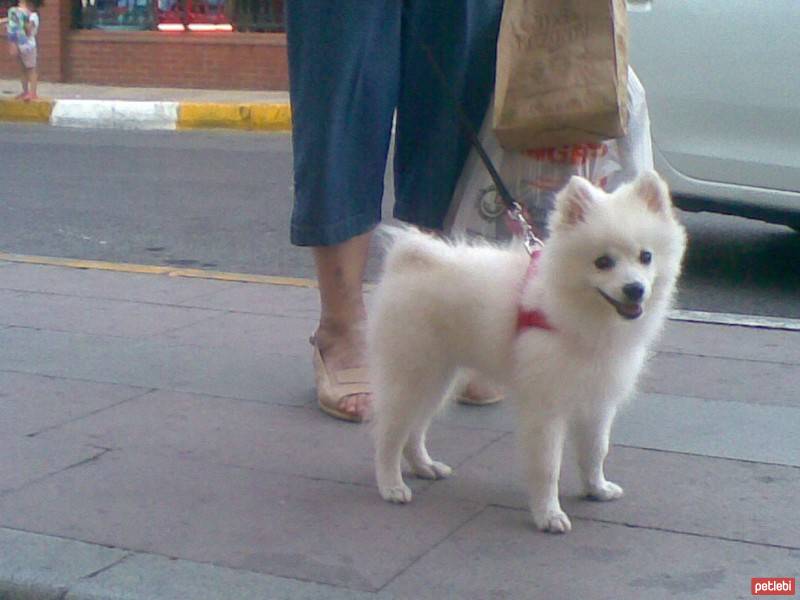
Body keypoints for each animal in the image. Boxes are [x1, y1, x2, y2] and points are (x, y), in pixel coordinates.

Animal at [368, 171, 688, 532]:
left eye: (646, 256)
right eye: (603, 262)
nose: (635, 289)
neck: (577, 316)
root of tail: (407, 262)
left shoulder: (597, 400)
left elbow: (595, 451)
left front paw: (597, 489)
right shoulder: (546, 406)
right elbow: (548, 466)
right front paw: (549, 515)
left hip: (439, 379)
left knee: (415, 428)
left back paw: (425, 466)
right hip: (411, 372)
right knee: (389, 433)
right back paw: (391, 485)